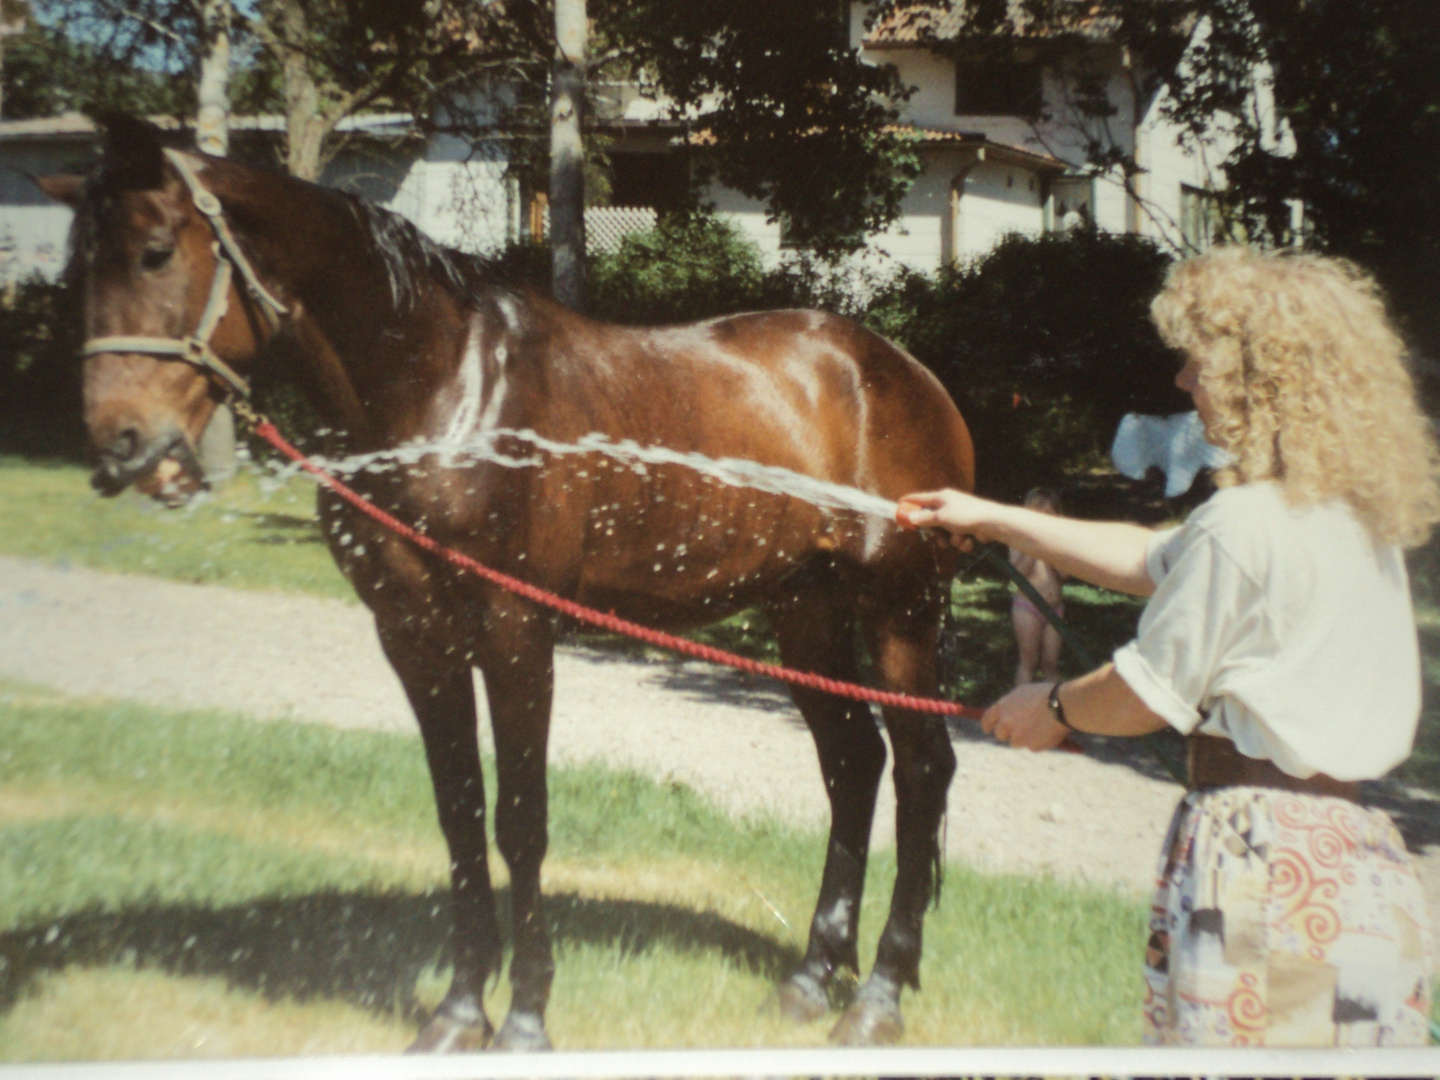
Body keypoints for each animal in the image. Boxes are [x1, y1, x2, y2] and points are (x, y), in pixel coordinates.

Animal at [39, 114, 973, 1054]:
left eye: (156, 252)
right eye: (79, 268)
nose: (122, 449)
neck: (444, 391)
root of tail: (901, 370)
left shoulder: (516, 632)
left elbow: (522, 820)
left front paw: (525, 1018)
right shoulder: (414, 637)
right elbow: (460, 814)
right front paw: (457, 1014)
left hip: (901, 609)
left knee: (921, 770)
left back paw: (878, 995)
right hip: (806, 611)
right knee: (853, 764)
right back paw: (813, 977)